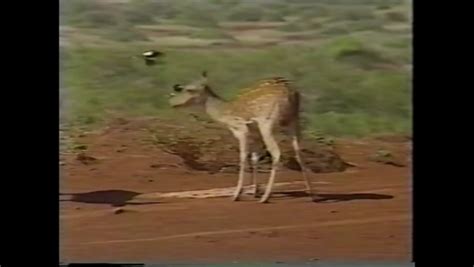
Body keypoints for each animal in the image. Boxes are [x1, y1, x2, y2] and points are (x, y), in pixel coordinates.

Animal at [168, 71, 316, 203]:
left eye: (189, 89)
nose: (172, 102)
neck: (225, 115)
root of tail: (291, 94)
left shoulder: (241, 130)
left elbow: (243, 157)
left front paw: (237, 195)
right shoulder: (255, 135)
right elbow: (254, 158)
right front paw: (254, 192)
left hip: (267, 123)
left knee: (276, 152)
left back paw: (265, 197)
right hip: (294, 122)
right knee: (298, 151)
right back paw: (311, 194)